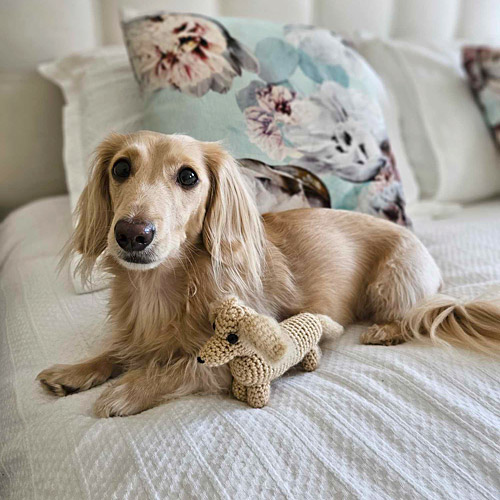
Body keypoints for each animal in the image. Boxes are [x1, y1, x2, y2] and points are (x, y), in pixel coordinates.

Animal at [196, 296, 344, 406]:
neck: (252, 354)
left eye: (232, 338)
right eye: (214, 326)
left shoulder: (260, 384)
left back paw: (311, 366)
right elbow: (238, 391)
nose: (200, 359)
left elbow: (258, 398)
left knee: (314, 352)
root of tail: (314, 317)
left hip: (310, 348)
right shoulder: (240, 381)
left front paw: (257, 403)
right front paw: (241, 397)